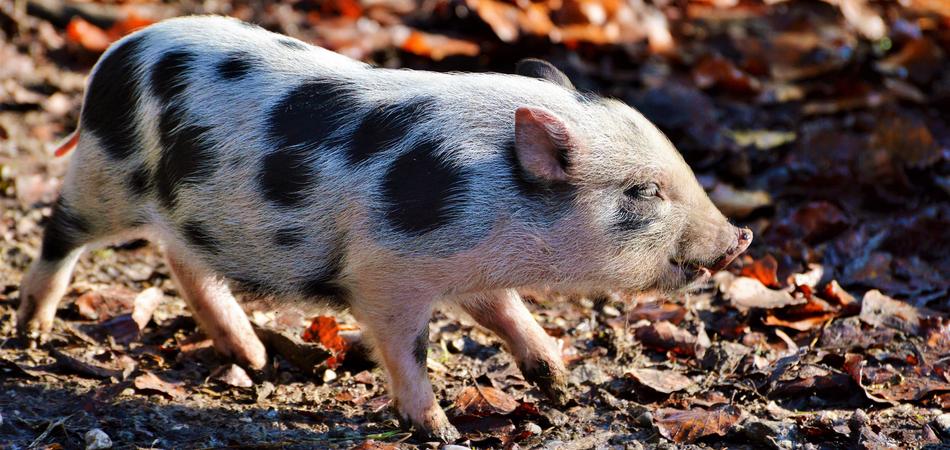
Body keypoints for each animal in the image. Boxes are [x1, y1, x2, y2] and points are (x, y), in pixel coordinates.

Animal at [17, 16, 752, 441]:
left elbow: (509, 316)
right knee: (60, 231)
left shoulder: (471, 268)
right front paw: (441, 431)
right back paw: (31, 333)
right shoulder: (386, 275)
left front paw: (561, 386)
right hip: (105, 175)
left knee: (183, 259)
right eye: (644, 191)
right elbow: (407, 348)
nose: (740, 240)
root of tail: (116, 52)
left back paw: (252, 359)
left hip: (188, 210)